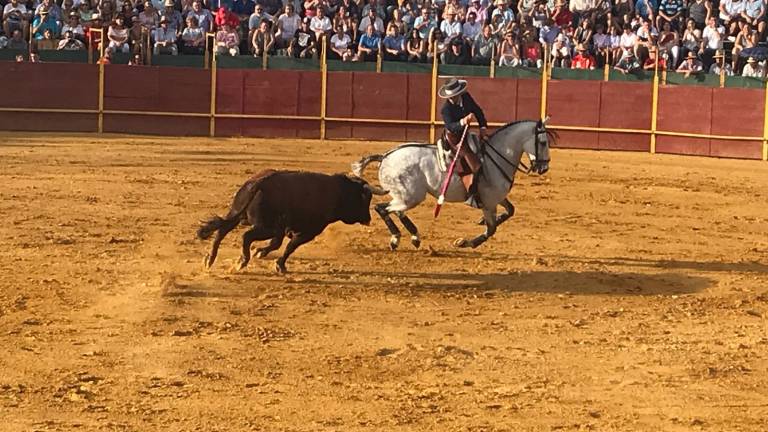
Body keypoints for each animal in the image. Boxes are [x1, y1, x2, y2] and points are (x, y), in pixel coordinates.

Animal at [196, 170, 384, 274]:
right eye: (365, 199)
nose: (368, 219)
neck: (339, 192)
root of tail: (260, 182)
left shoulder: (283, 229)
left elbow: (277, 244)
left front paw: (261, 252)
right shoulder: (309, 231)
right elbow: (290, 246)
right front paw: (279, 265)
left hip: (237, 214)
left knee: (221, 231)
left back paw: (209, 260)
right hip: (265, 226)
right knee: (246, 236)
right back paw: (240, 262)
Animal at [352, 120, 556, 250]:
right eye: (543, 142)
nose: (544, 167)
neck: (496, 157)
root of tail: (385, 157)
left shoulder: (497, 198)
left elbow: (511, 211)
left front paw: (481, 222)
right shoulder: (489, 202)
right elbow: (491, 229)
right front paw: (465, 243)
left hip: (405, 197)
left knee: (395, 210)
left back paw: (414, 237)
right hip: (410, 197)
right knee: (382, 208)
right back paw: (396, 239)